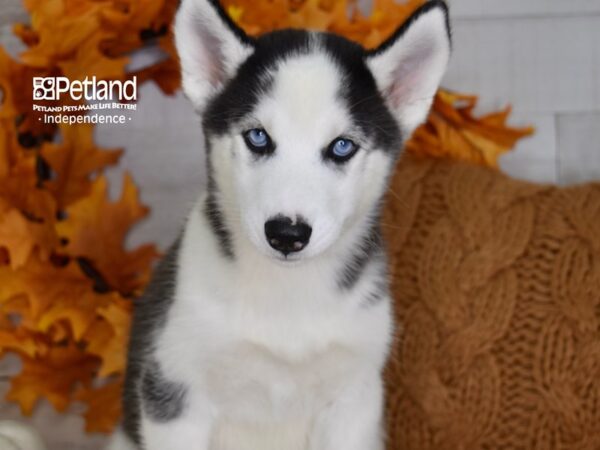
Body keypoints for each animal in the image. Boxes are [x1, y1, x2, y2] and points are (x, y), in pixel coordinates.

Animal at [109, 1, 450, 448]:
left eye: (342, 146)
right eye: (258, 137)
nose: (287, 234)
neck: (287, 296)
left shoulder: (353, 399)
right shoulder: (172, 389)